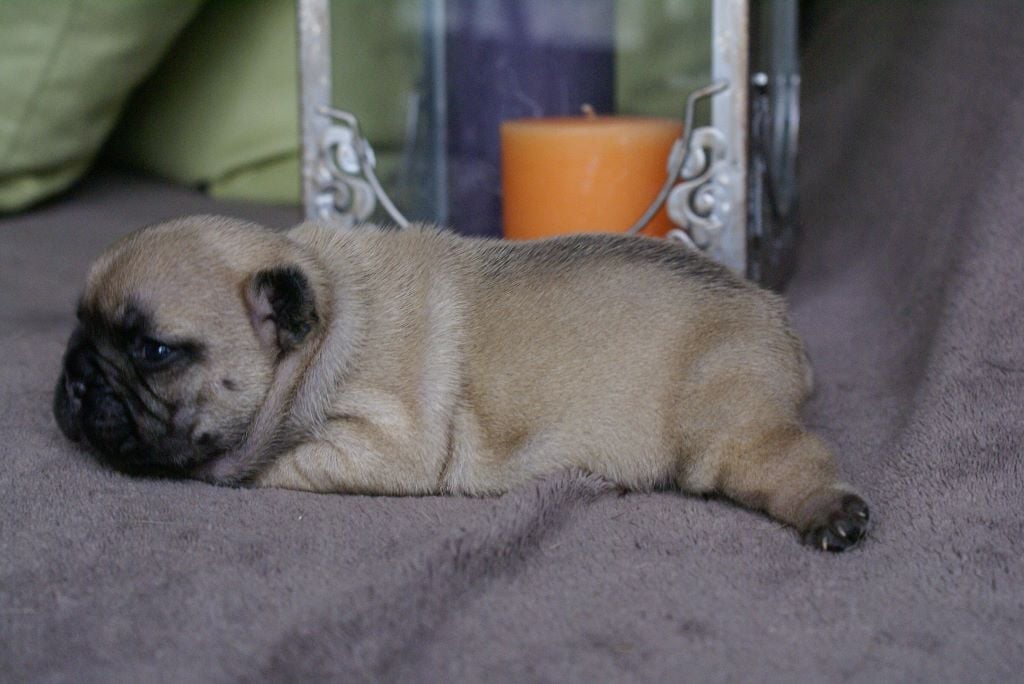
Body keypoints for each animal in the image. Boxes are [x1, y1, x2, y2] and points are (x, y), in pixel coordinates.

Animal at [56, 216, 868, 552]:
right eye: (78, 328)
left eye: (155, 350)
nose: (74, 378)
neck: (328, 319)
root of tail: (778, 321)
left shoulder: (384, 442)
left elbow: (278, 463)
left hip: (727, 419)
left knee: (788, 461)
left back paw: (830, 512)